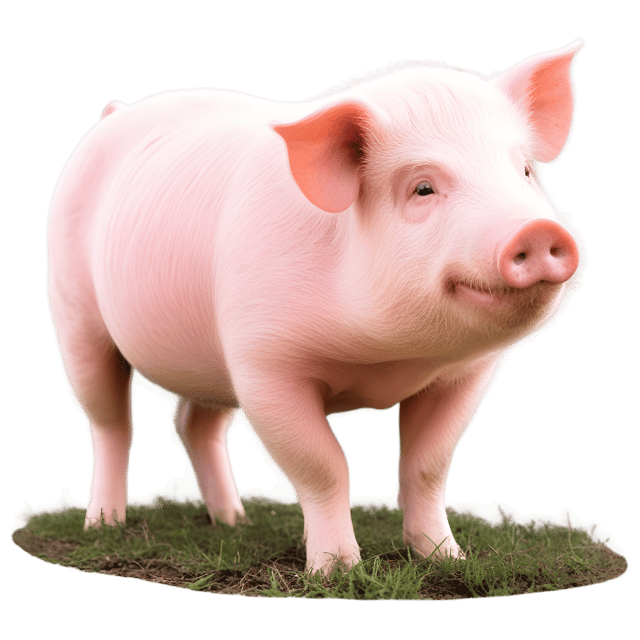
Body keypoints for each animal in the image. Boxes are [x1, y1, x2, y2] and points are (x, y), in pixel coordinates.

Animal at [46, 38, 587, 576]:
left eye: (524, 171)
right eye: (423, 188)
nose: (538, 230)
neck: (391, 360)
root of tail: (117, 112)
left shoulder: (467, 373)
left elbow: (429, 466)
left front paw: (446, 559)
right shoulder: (265, 363)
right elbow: (324, 467)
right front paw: (337, 571)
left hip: (211, 361)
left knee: (195, 426)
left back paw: (234, 522)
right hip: (76, 319)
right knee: (111, 424)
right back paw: (103, 526)